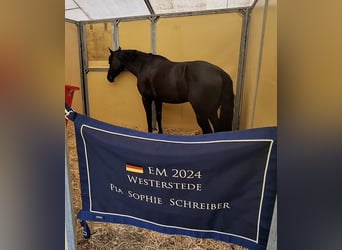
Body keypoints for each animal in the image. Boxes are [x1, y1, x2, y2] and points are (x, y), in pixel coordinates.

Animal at [107, 47, 235, 134]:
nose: (109, 78)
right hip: (212, 111)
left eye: (110, 61)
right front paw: (160, 133)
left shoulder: (146, 98)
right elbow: (158, 117)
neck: (144, 66)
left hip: (202, 112)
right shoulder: (158, 100)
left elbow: (148, 117)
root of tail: (220, 73)